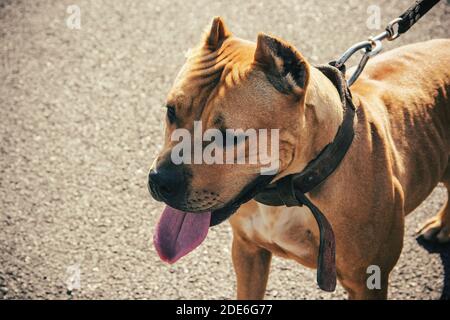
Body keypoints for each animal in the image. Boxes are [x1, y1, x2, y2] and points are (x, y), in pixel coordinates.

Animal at [149, 17, 450, 300]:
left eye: (229, 138)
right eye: (171, 111)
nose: (160, 181)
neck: (289, 190)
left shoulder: (369, 282)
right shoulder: (248, 252)